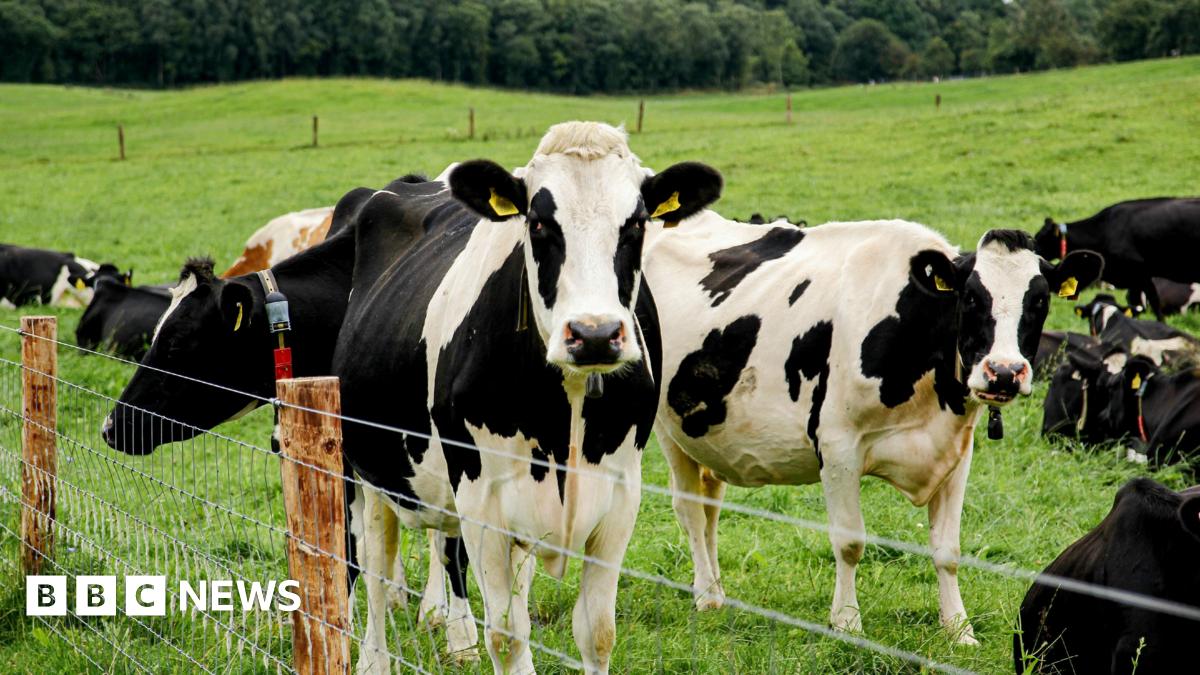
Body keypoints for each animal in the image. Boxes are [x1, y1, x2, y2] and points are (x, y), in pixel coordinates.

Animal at [332, 121, 722, 674]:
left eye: (637, 223)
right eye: (538, 223)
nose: (595, 334)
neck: (567, 413)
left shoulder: (621, 497)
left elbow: (596, 632)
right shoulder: (481, 502)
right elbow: (506, 635)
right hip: (363, 464)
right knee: (374, 560)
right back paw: (372, 659)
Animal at [643, 223, 1102, 643]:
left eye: (1039, 300)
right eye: (971, 297)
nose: (1004, 372)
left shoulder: (957, 450)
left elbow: (949, 550)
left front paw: (958, 629)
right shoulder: (838, 446)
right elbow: (849, 542)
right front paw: (847, 623)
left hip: (707, 437)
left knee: (710, 509)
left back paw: (718, 590)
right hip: (668, 428)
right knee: (689, 510)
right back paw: (706, 594)